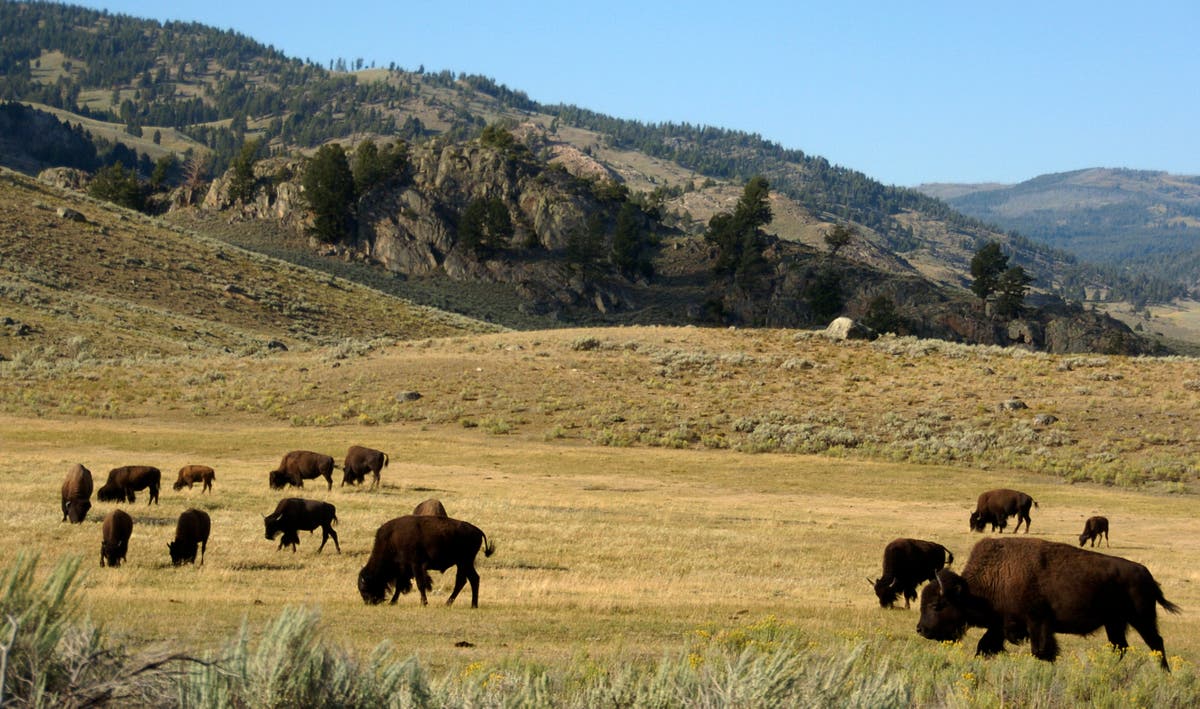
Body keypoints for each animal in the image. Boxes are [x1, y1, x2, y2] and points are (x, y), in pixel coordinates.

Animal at [358, 515, 495, 608]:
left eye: (365, 588)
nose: (369, 602)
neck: (392, 539)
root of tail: (478, 531)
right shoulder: (404, 569)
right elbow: (400, 585)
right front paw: (393, 602)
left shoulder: (415, 565)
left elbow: (420, 584)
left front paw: (424, 603)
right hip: (464, 563)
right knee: (469, 580)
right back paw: (466, 604)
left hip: (464, 562)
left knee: (467, 580)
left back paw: (458, 604)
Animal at [917, 537, 1180, 670]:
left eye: (937, 605)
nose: (921, 629)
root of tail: (1145, 574)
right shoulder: (1001, 625)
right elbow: (984, 646)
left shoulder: (1038, 622)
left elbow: (1042, 651)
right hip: (1114, 623)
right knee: (1120, 646)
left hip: (1141, 618)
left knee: (1156, 642)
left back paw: (1164, 673)